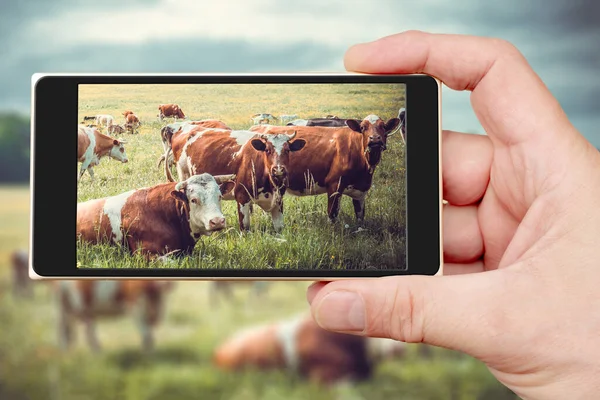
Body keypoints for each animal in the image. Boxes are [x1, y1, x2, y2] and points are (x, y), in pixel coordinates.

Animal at [163, 126, 308, 233]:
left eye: (287, 150)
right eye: (267, 150)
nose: (278, 169)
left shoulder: (278, 201)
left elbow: (279, 228)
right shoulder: (242, 197)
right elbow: (245, 228)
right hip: (184, 175)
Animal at [251, 114, 400, 223]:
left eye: (383, 127)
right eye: (363, 127)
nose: (374, 139)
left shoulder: (361, 191)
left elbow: (360, 217)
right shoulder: (334, 185)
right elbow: (332, 214)